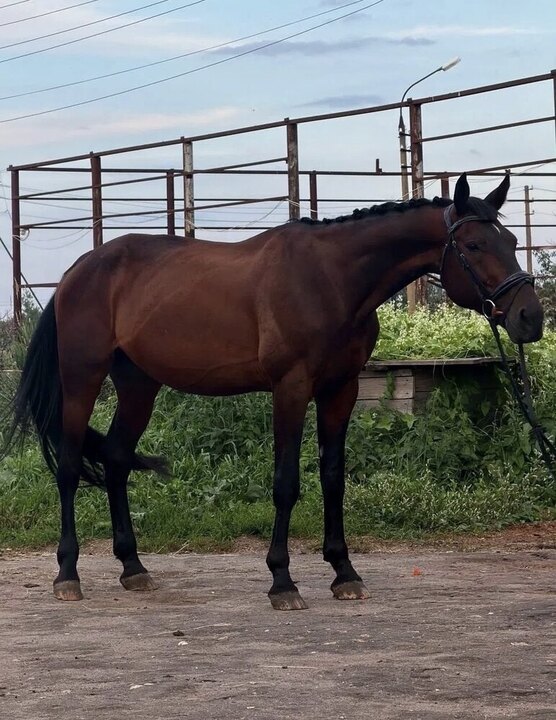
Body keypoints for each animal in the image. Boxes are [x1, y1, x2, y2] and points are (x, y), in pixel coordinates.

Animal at [2, 173, 544, 610]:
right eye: (474, 246)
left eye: (513, 239)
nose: (530, 318)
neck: (332, 279)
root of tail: (76, 272)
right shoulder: (291, 388)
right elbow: (286, 483)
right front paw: (283, 581)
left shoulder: (341, 390)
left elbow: (333, 478)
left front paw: (344, 573)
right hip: (82, 378)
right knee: (69, 468)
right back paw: (68, 574)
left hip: (139, 385)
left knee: (115, 460)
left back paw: (133, 568)